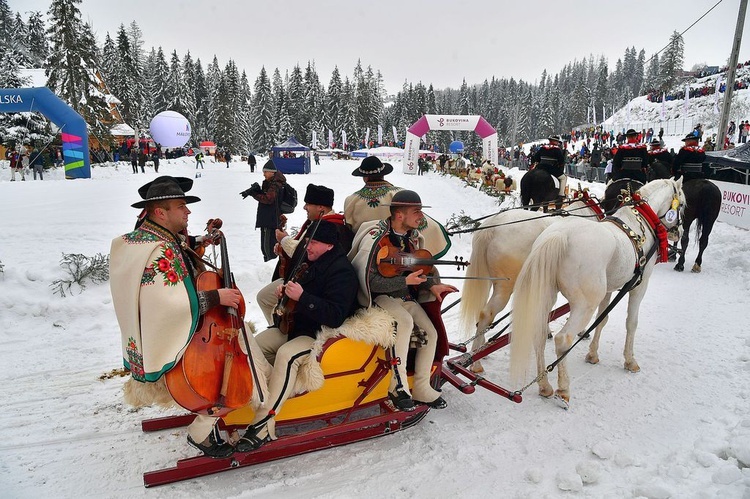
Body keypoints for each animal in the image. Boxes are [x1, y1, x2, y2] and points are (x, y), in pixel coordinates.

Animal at [458, 193, 604, 374]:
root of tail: (492, 227)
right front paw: (581, 330)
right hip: (506, 286)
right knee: (487, 313)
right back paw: (476, 362)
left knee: (482, 315)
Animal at [512, 178, 688, 404]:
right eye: (682, 204)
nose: (679, 233)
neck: (639, 224)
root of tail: (559, 235)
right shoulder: (639, 286)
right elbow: (631, 323)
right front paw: (630, 360)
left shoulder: (609, 290)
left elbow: (602, 319)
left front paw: (592, 355)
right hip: (584, 304)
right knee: (563, 339)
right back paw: (563, 388)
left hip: (546, 295)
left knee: (539, 334)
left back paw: (544, 385)